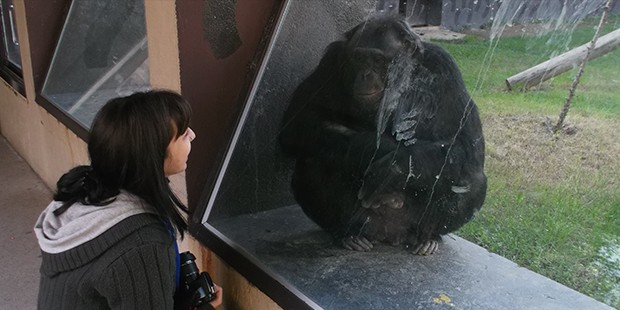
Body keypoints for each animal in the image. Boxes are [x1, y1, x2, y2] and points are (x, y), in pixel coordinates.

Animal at [278, 15, 486, 254]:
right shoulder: (330, 60)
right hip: (365, 221)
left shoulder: (445, 67)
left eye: (377, 60)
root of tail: (390, 236)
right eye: (359, 58)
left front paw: (394, 168)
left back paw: (427, 238)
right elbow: (300, 121)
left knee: (472, 180)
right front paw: (376, 150)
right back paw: (348, 235)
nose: (365, 74)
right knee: (312, 157)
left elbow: (466, 144)